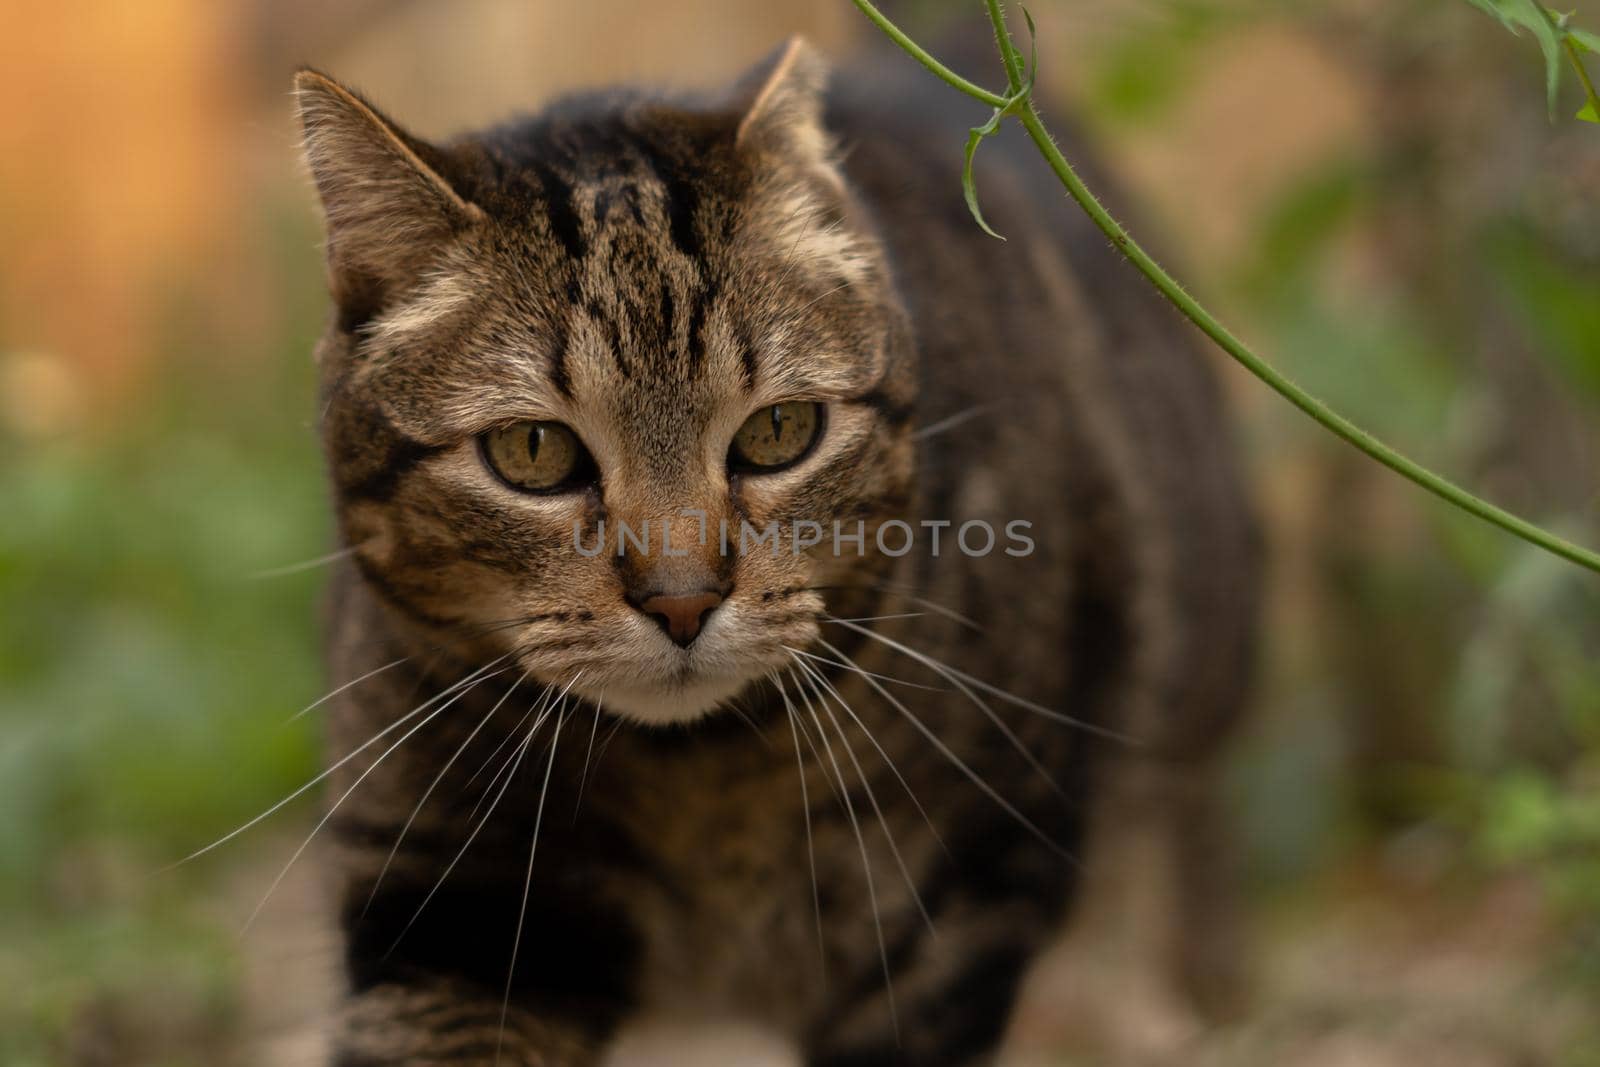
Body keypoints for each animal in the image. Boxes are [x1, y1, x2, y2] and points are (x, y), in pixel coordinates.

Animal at [294, 33, 1254, 1067]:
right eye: (532, 451)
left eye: (779, 431)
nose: (681, 599)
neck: (693, 779)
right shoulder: (453, 906)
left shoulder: (952, 906)